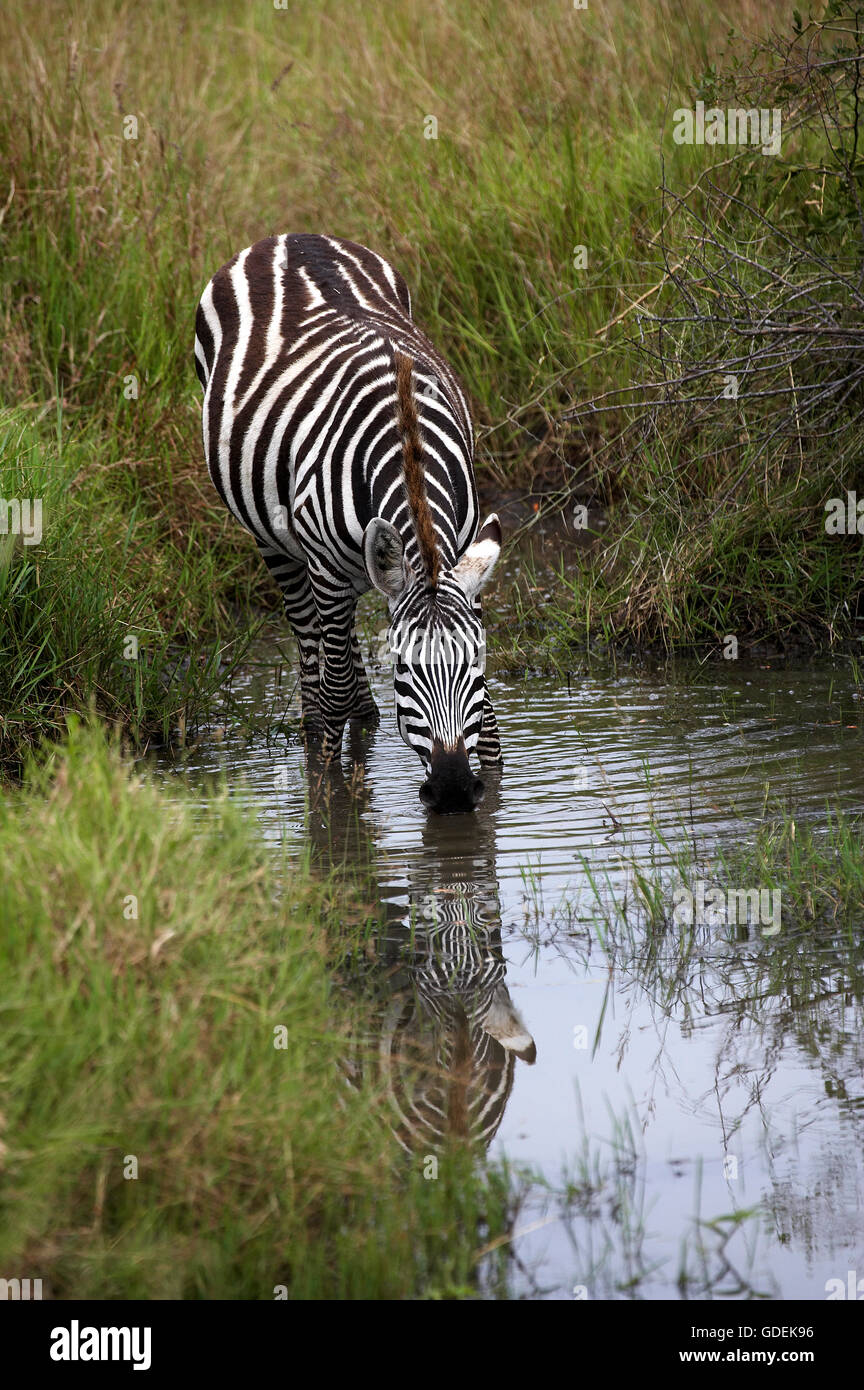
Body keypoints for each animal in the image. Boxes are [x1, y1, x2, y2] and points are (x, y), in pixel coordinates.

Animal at [194, 232, 508, 811]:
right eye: (403, 667)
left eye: (474, 661)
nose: (454, 791)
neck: (408, 445)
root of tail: (290, 236)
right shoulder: (325, 568)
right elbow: (333, 685)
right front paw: (329, 794)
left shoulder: (462, 558)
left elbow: (491, 723)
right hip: (279, 544)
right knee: (310, 641)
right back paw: (319, 725)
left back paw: (365, 715)